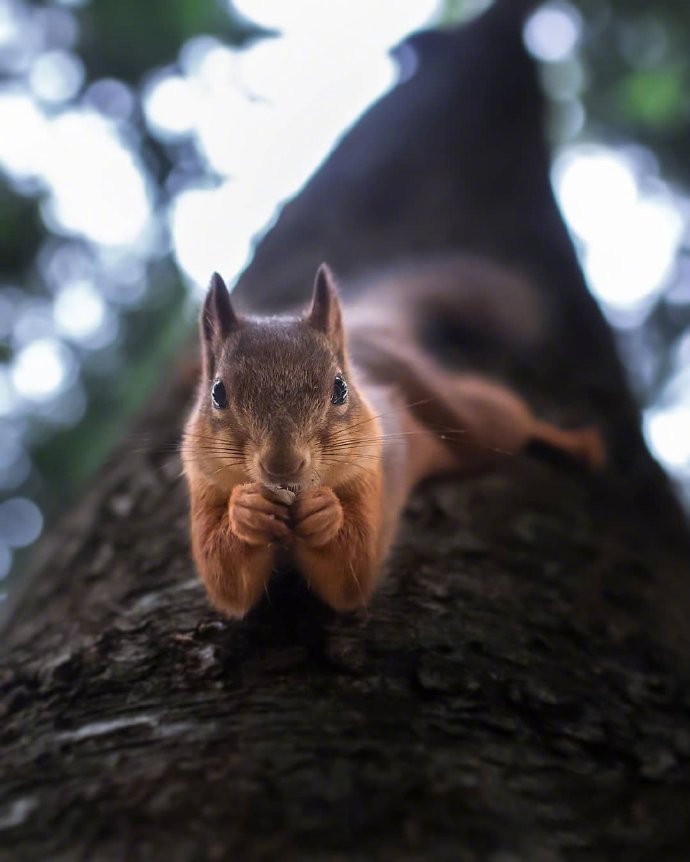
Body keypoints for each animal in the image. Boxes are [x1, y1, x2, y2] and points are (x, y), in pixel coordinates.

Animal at [179, 260, 600, 616]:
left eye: (340, 389)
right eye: (218, 393)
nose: (282, 464)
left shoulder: (371, 473)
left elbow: (353, 569)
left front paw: (324, 511)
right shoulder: (204, 484)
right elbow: (226, 580)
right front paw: (246, 509)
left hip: (471, 422)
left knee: (514, 421)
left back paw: (577, 443)